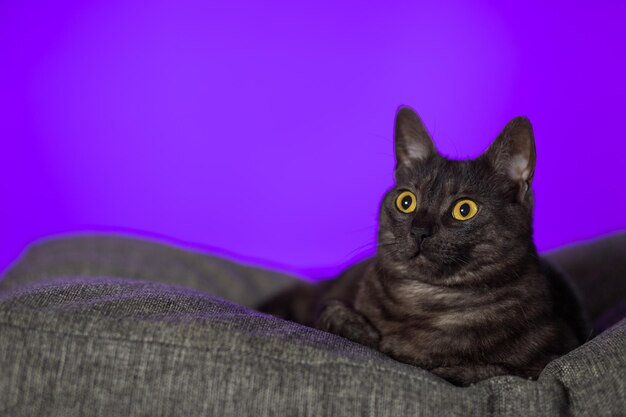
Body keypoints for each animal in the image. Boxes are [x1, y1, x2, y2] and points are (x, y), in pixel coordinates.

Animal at [256, 105, 588, 386]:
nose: (419, 231)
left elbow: (486, 369)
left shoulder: (553, 353)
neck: (427, 300)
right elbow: (332, 312)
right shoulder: (333, 302)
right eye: (406, 202)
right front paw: (364, 332)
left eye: (464, 209)